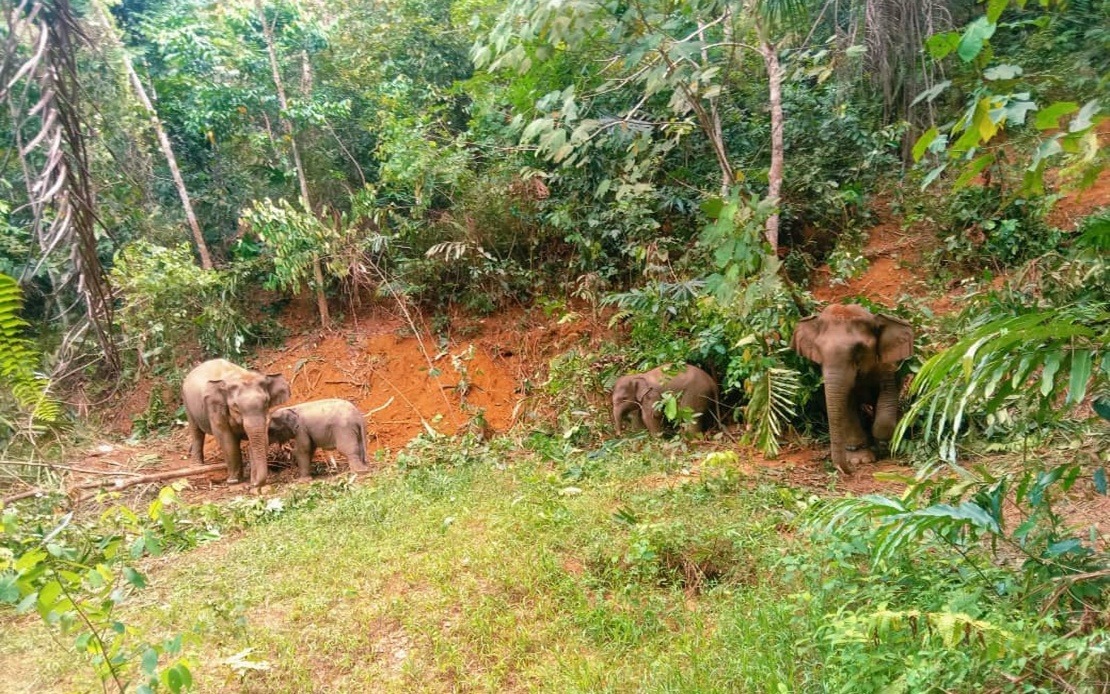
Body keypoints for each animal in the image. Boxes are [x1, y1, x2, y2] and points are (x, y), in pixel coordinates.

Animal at [794, 304, 914, 473]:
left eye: (859, 349)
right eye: (818, 350)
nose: (846, 470)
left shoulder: (889, 367)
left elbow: (888, 393)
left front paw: (881, 442)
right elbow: (847, 406)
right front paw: (859, 459)